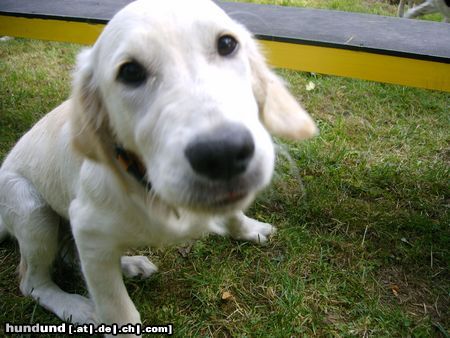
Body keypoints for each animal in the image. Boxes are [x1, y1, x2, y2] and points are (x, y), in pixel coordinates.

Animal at [0, 0, 316, 332]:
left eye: (227, 44)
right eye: (130, 71)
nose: (223, 154)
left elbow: (233, 213)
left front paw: (248, 229)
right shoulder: (86, 225)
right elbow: (119, 311)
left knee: (72, 256)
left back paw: (129, 264)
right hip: (33, 214)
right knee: (32, 281)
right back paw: (76, 306)